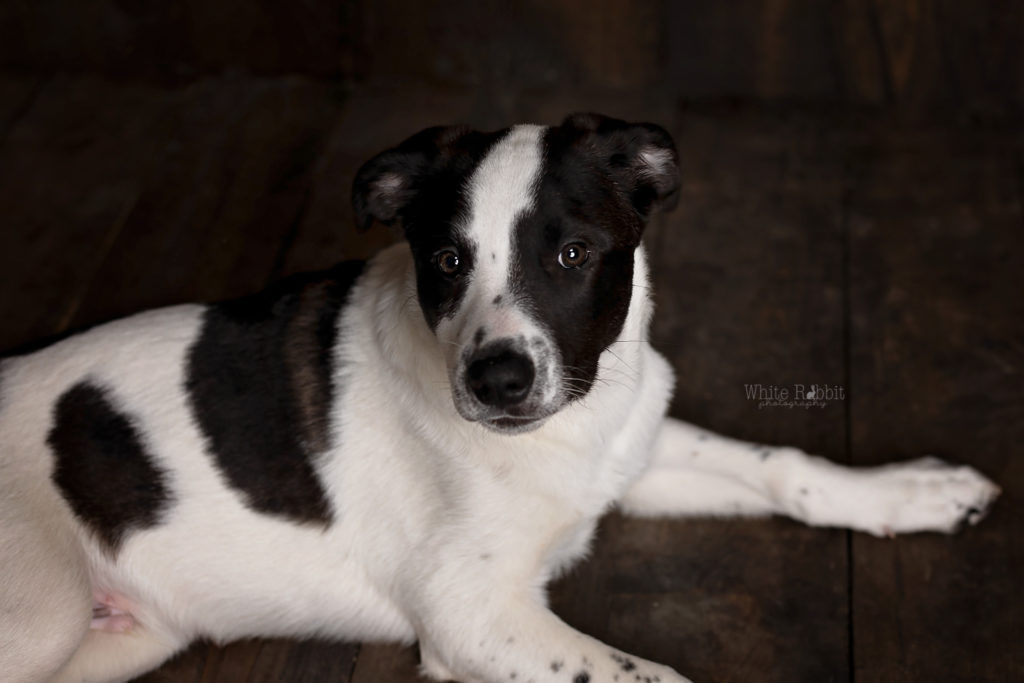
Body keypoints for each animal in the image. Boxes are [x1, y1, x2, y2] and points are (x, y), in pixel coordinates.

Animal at [0, 114, 999, 679]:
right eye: (446, 261)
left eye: (572, 254)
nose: (499, 381)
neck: (563, 431)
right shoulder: (473, 613)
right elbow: (642, 674)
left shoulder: (631, 446)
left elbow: (782, 464)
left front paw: (908, 489)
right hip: (46, 616)